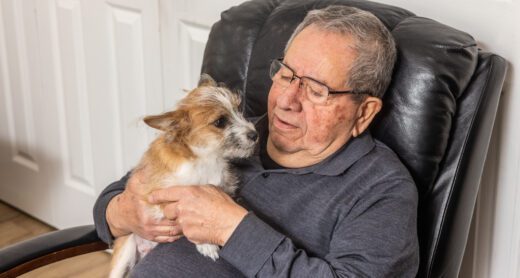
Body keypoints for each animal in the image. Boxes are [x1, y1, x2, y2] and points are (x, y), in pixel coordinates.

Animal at [109, 74, 258, 278]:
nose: (255, 134)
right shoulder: (160, 195)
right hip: (125, 253)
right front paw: (206, 245)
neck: (206, 158)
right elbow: (183, 215)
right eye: (220, 122)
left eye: (238, 110)